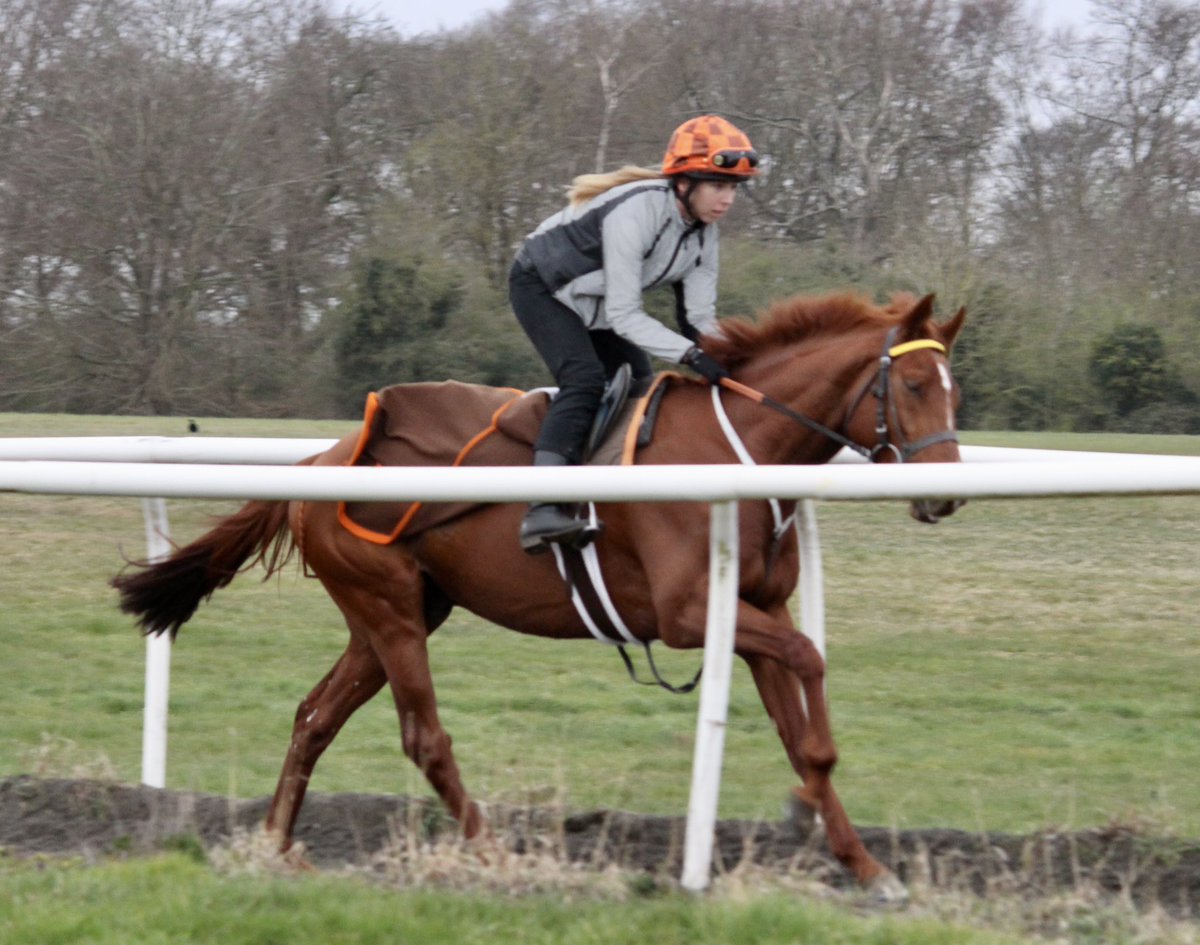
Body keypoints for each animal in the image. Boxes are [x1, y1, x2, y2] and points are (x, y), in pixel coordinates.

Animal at [111, 290, 965, 900]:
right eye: (914, 383)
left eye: (956, 391)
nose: (946, 494)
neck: (738, 449)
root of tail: (320, 461)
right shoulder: (689, 614)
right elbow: (809, 658)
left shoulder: (755, 607)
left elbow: (800, 731)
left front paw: (863, 863)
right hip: (388, 607)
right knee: (424, 736)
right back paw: (493, 855)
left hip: (397, 611)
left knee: (315, 716)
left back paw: (276, 847)